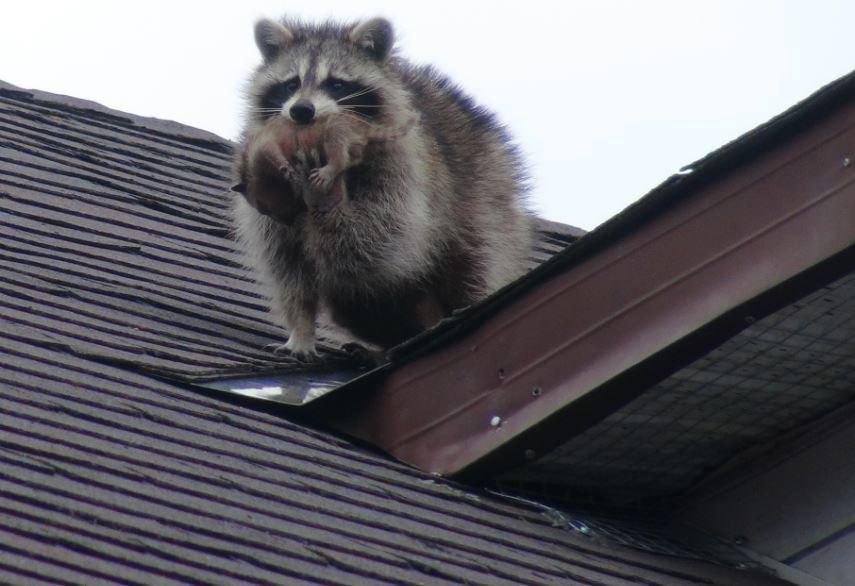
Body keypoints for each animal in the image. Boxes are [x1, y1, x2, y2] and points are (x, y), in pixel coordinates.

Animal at [231, 16, 532, 356]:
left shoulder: (401, 169)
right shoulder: (267, 203)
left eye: (336, 84)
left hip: (485, 199)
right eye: (291, 84)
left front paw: (326, 199)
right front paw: (301, 331)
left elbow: (375, 241)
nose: (302, 110)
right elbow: (289, 269)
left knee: (473, 265)